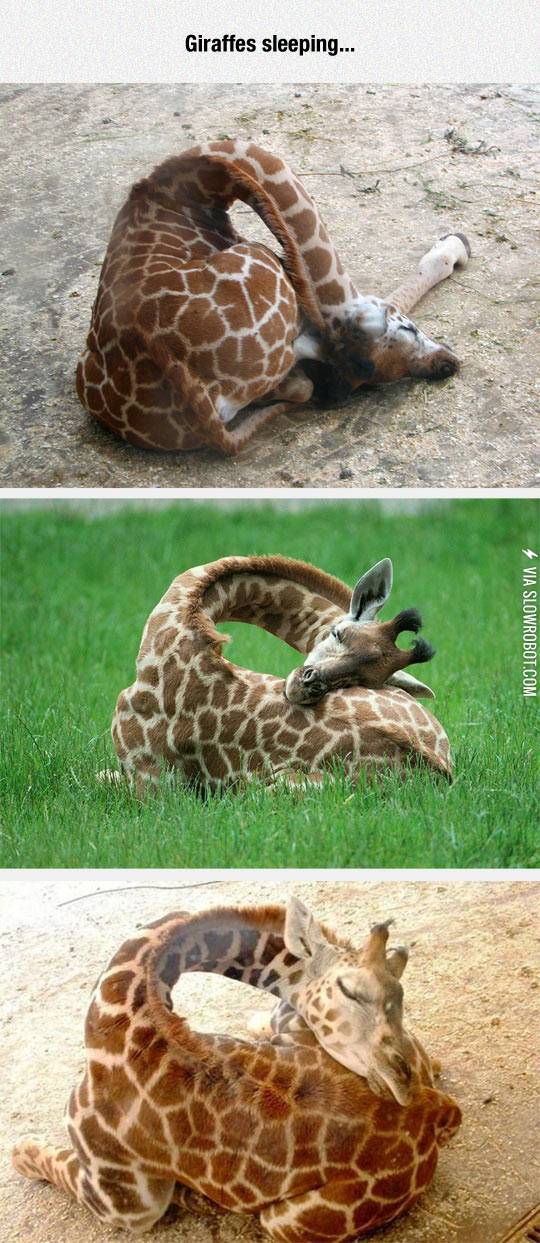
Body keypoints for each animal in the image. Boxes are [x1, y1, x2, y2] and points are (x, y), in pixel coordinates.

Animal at [12, 900, 462, 1241]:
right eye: (348, 990)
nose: (401, 1079)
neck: (124, 1013)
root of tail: (438, 1112)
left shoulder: (123, 1198)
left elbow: (45, 1158)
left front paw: (19, 1150)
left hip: (283, 1222)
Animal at [110, 555, 452, 796]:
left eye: (369, 679)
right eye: (337, 633)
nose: (308, 686)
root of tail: (440, 771)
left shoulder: (149, 778)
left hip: (272, 789)